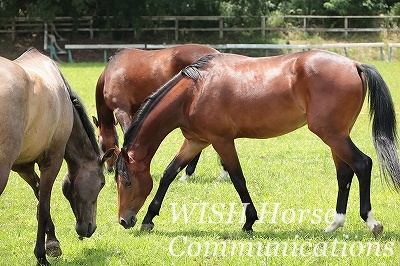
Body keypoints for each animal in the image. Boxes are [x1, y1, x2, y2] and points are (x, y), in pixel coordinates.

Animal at [0, 48, 112, 266]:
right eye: (102, 183)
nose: (90, 228)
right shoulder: (52, 162)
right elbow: (43, 207)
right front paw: (41, 255)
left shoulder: (24, 166)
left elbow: (38, 200)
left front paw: (52, 242)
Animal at [113, 50, 400, 237]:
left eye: (126, 182)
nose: (124, 220)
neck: (194, 91)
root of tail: (354, 64)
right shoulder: (196, 142)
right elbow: (168, 174)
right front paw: (149, 219)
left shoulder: (221, 141)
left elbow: (238, 179)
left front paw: (249, 222)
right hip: (337, 136)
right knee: (344, 174)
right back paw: (334, 225)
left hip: (333, 135)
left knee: (362, 164)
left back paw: (371, 223)